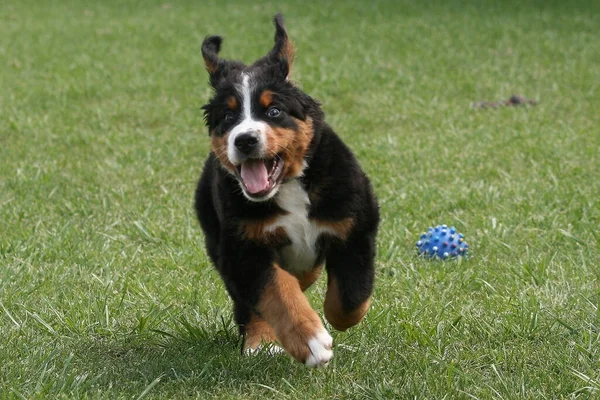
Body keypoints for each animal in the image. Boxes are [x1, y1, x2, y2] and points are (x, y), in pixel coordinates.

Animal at [195, 14, 378, 368]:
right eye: (228, 116)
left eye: (274, 111)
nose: (245, 139)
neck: (289, 187)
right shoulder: (242, 248)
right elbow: (277, 291)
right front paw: (310, 340)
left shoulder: (356, 226)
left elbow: (349, 298)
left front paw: (330, 321)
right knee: (250, 305)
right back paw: (260, 341)